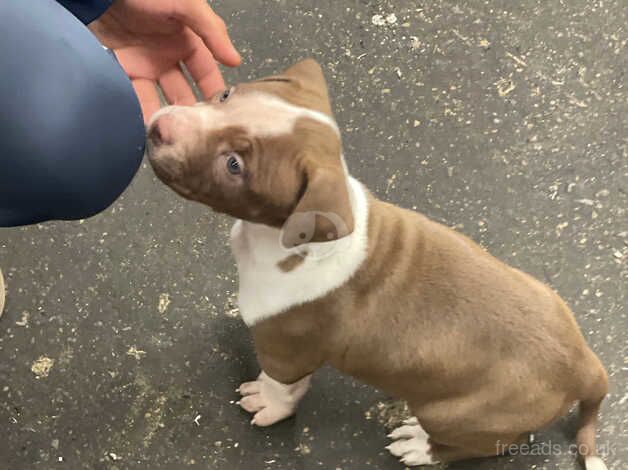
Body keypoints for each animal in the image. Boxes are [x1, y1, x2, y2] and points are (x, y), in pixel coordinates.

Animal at [146, 59, 608, 470]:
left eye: (234, 165)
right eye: (225, 94)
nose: (159, 127)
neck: (285, 240)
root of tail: (583, 364)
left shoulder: (287, 347)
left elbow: (281, 385)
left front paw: (268, 402)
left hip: (457, 413)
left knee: (493, 444)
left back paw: (420, 446)